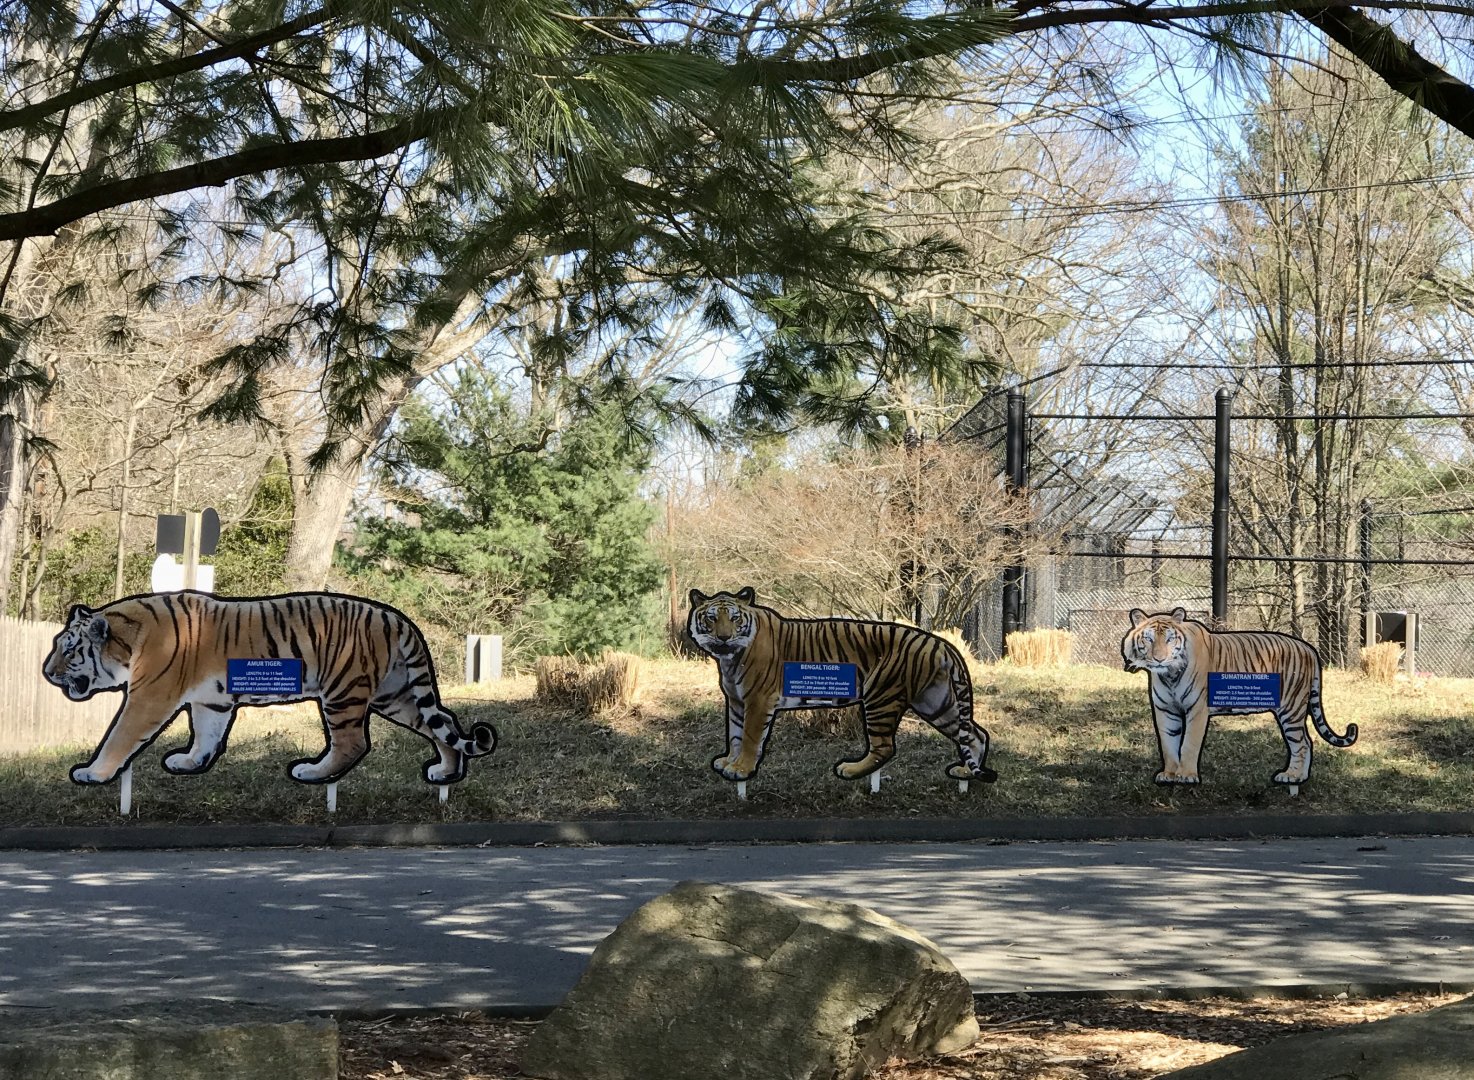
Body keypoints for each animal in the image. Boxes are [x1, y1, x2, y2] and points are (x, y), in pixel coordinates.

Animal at [42, 590, 497, 787]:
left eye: (69, 650)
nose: (46, 672)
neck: (129, 640)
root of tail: (396, 618)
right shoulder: (211, 701)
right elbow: (206, 735)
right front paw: (189, 763)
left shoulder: (149, 697)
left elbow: (118, 736)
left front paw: (92, 773)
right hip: (397, 695)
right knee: (443, 725)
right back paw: (445, 772)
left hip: (343, 691)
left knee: (352, 743)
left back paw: (311, 772)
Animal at [686, 587, 998, 785]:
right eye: (711, 618)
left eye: (735, 618)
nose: (724, 637)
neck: (729, 658)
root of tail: (941, 644)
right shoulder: (737, 701)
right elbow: (735, 735)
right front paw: (729, 762)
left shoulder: (757, 700)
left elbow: (750, 737)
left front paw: (741, 770)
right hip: (936, 703)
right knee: (975, 734)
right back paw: (966, 773)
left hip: (881, 698)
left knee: (884, 747)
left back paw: (849, 769)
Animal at [1120, 607, 1357, 787]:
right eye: (1148, 639)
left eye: (1170, 639)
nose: (1160, 659)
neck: (1169, 676)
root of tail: (1308, 649)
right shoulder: (1165, 710)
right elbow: (1168, 744)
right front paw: (1169, 775)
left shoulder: (1197, 709)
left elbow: (1189, 743)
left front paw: (1186, 776)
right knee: (1306, 741)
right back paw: (1301, 777)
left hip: (1291, 707)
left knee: (1302, 743)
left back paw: (1291, 776)